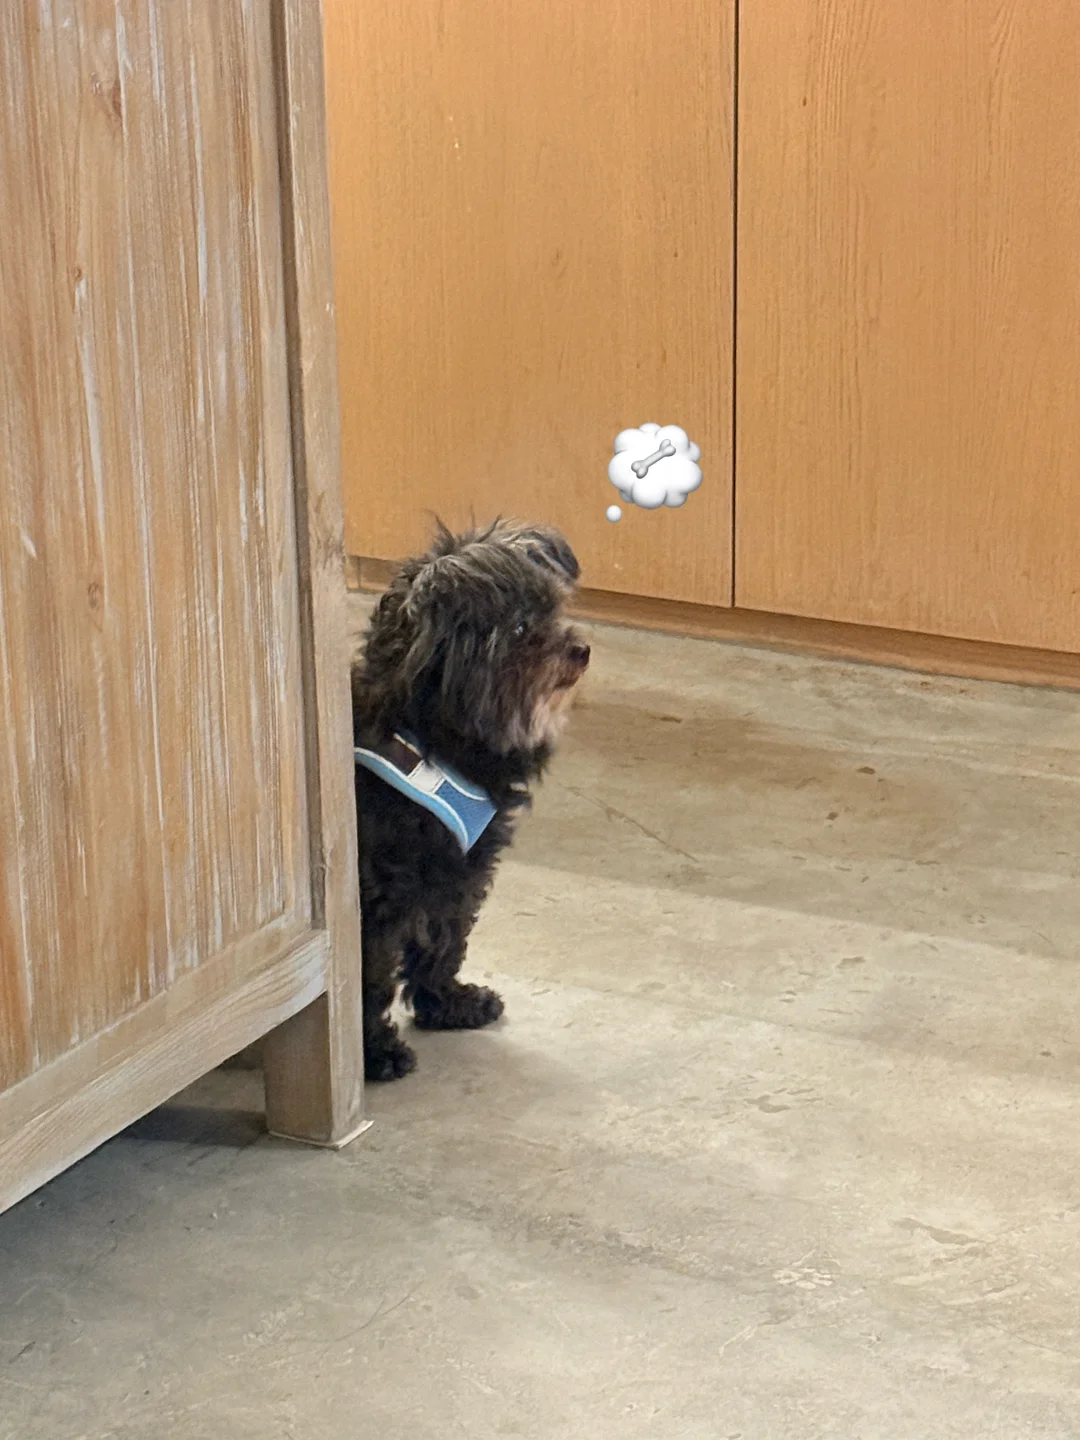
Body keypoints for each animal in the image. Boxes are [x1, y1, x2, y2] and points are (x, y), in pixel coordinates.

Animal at [352, 519, 590, 1081]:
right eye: (520, 629)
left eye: (553, 607)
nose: (581, 649)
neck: (426, 732)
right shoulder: (378, 897)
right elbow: (367, 978)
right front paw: (375, 1053)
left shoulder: (456, 869)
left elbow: (443, 938)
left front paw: (449, 1005)